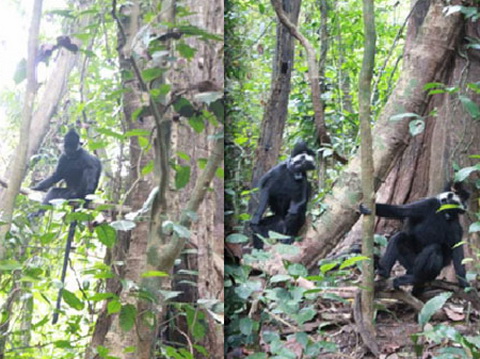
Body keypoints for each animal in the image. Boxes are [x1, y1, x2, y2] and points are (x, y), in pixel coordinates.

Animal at [30, 129, 101, 324]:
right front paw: (36, 187)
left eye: (73, 145)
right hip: (66, 194)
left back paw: (85, 195)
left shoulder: (84, 155)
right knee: (54, 191)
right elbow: (56, 176)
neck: (73, 157)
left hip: (76, 191)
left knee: (87, 171)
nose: (69, 150)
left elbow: (93, 166)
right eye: (66, 145)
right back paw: (39, 211)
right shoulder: (63, 158)